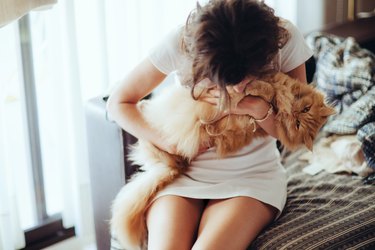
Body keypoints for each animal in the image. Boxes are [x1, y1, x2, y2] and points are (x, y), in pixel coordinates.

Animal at [110, 71, 336, 249]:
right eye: (304, 112)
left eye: (298, 124)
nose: (297, 113)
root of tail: (176, 167)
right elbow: (264, 85)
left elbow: (263, 94)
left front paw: (256, 89)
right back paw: (143, 104)